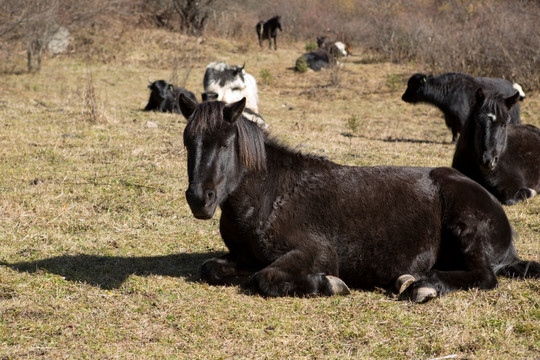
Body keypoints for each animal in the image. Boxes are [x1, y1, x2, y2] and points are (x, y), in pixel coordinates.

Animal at [179, 94, 536, 302]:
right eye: (187, 142)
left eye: (226, 144)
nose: (199, 199)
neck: (270, 196)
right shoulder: (241, 256)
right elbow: (211, 269)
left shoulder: (315, 252)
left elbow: (264, 279)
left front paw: (328, 284)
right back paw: (409, 280)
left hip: (465, 230)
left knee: (484, 276)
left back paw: (423, 286)